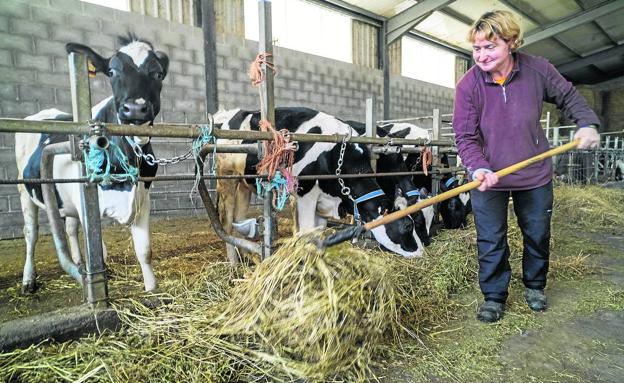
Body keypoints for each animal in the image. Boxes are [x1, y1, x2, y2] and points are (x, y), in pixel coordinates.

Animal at [16, 36, 168, 294]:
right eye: (112, 71)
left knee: (69, 228)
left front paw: (151, 289)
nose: (135, 108)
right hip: (25, 190)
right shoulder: (87, 202)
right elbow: (99, 252)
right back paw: (29, 280)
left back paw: (77, 262)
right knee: (31, 233)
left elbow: (145, 251)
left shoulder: (142, 198)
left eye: (157, 73)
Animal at [213, 108, 424, 260]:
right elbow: (306, 232)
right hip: (226, 178)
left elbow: (319, 233)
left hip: (243, 184)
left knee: (238, 220)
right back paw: (233, 265)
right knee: (226, 222)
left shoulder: (324, 202)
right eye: (408, 226)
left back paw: (247, 259)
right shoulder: (305, 194)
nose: (421, 251)